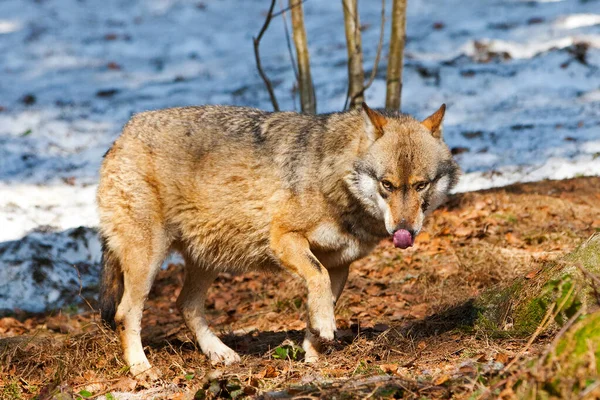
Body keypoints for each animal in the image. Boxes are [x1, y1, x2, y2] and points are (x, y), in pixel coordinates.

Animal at [97, 102, 460, 378]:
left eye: (421, 185)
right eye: (387, 184)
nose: (404, 231)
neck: (332, 178)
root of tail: (122, 134)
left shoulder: (340, 265)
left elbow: (320, 303)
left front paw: (314, 354)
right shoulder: (285, 240)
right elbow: (318, 280)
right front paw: (324, 331)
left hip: (207, 259)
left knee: (185, 306)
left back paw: (219, 353)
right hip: (149, 260)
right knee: (125, 314)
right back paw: (141, 369)